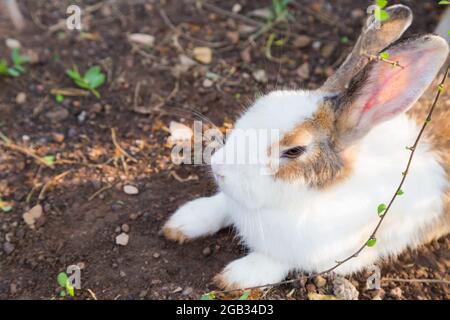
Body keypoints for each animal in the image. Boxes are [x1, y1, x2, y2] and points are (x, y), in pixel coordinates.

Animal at [163, 5, 450, 290]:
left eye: (294, 151)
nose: (219, 168)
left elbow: (277, 261)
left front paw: (236, 277)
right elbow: (220, 204)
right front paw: (182, 222)